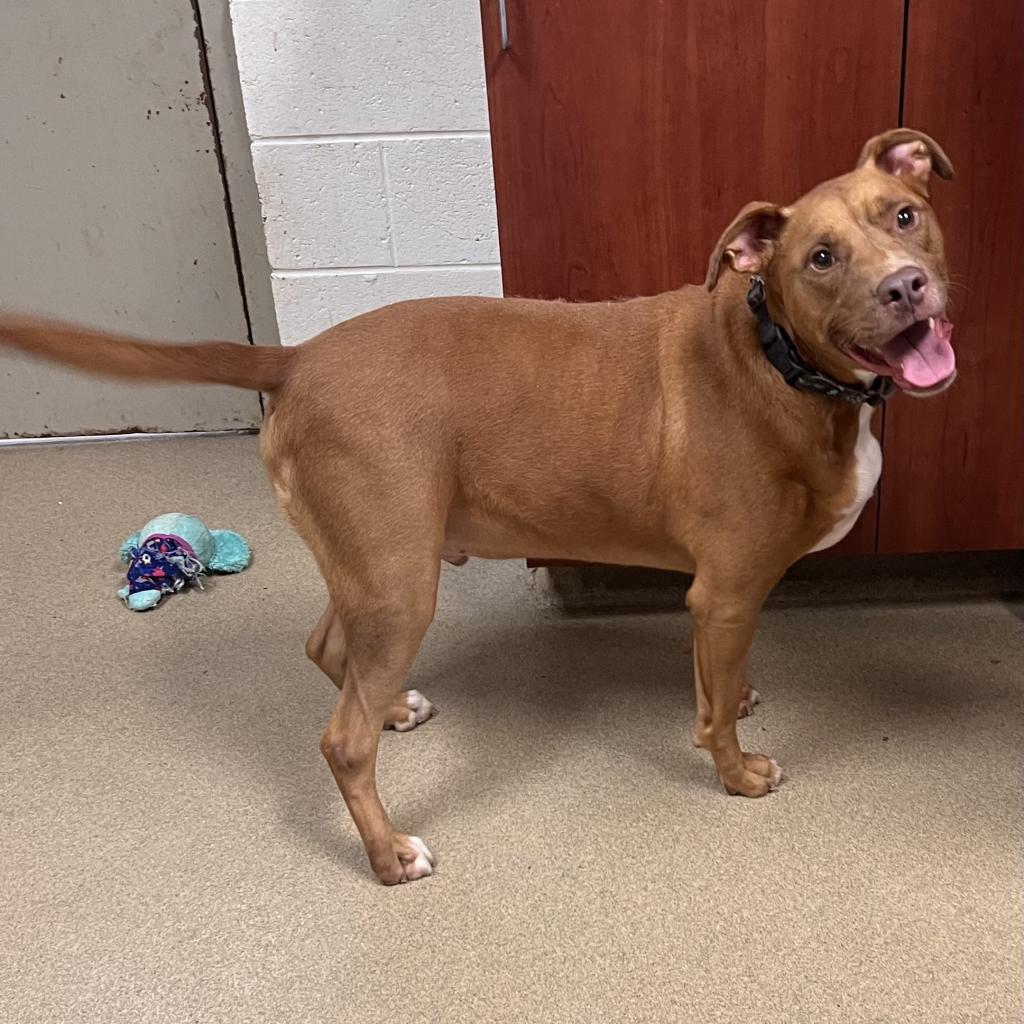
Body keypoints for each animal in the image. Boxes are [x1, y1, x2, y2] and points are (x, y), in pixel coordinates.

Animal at [2, 128, 958, 880]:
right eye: (821, 259)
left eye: (904, 216)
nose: (906, 286)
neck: (778, 359)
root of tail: (298, 356)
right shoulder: (724, 593)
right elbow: (714, 714)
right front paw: (736, 773)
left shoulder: (712, 604)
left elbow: (713, 685)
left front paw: (736, 697)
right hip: (400, 582)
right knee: (342, 742)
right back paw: (388, 853)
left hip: (373, 568)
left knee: (328, 648)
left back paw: (390, 706)